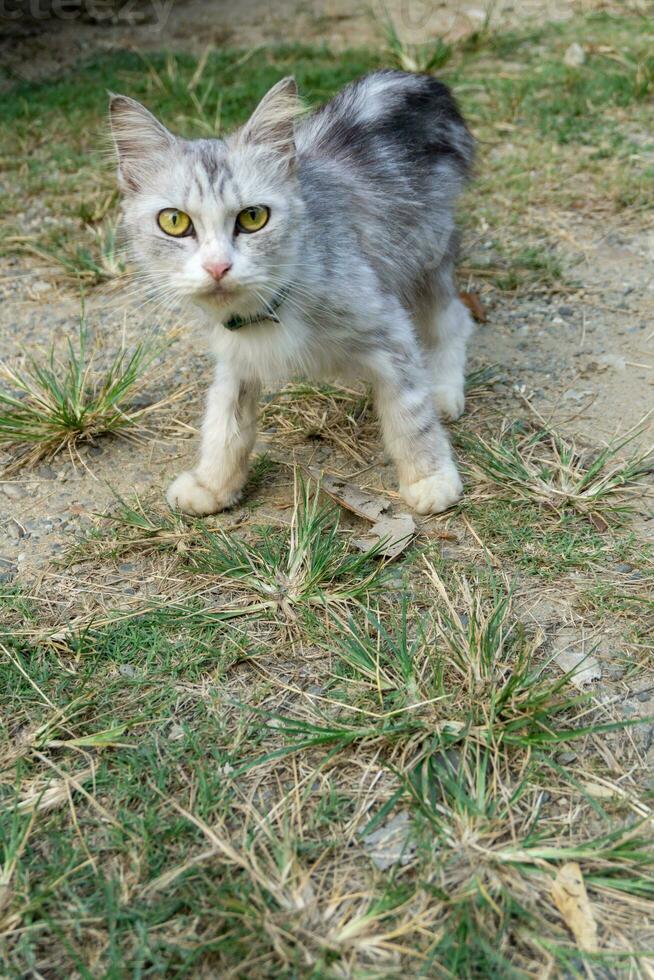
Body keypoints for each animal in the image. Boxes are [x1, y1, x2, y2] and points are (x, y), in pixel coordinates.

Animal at [109, 68, 476, 516]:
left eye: (253, 218)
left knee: (453, 319)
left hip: (427, 258)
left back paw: (443, 388)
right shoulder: (235, 356)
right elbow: (225, 422)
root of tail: (414, 80)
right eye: (174, 222)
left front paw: (430, 477)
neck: (268, 309)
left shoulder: (389, 329)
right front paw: (213, 484)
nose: (218, 267)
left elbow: (410, 413)